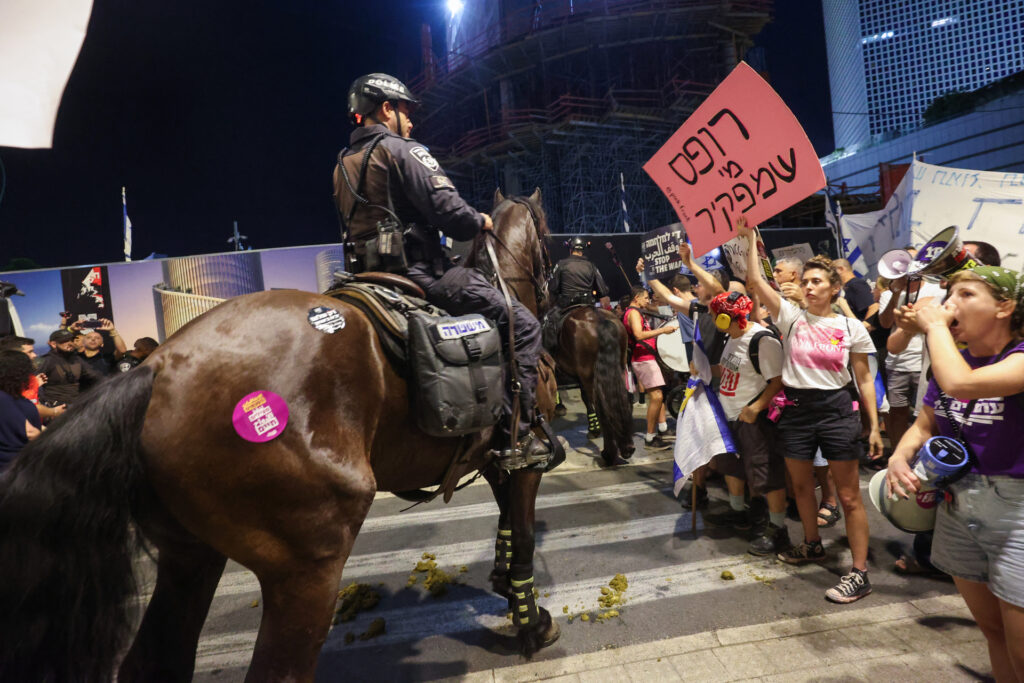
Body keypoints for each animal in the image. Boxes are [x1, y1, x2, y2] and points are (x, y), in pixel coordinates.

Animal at [0, 191, 561, 683]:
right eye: (548, 235)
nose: (555, 292)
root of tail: (154, 369)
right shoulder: (523, 460)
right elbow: (524, 534)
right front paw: (530, 621)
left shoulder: (494, 459)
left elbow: (507, 527)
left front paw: (503, 582)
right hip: (307, 565)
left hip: (190, 556)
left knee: (154, 661)